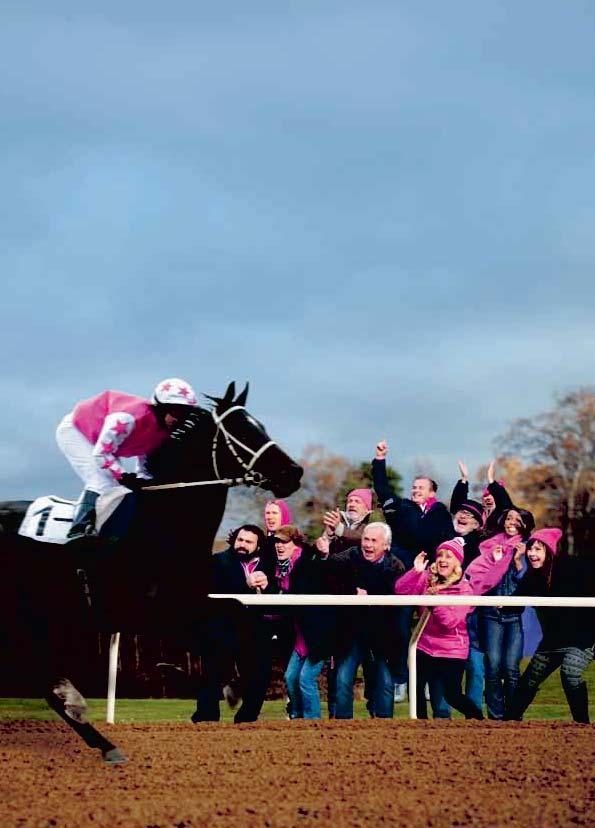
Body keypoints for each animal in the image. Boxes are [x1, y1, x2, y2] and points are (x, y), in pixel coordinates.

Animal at [0, 382, 302, 764]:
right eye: (244, 431)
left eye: (260, 425)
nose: (293, 473)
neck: (160, 528)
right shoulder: (151, 615)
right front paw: (229, 690)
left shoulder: (193, 602)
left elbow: (239, 616)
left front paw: (238, 691)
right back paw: (96, 731)